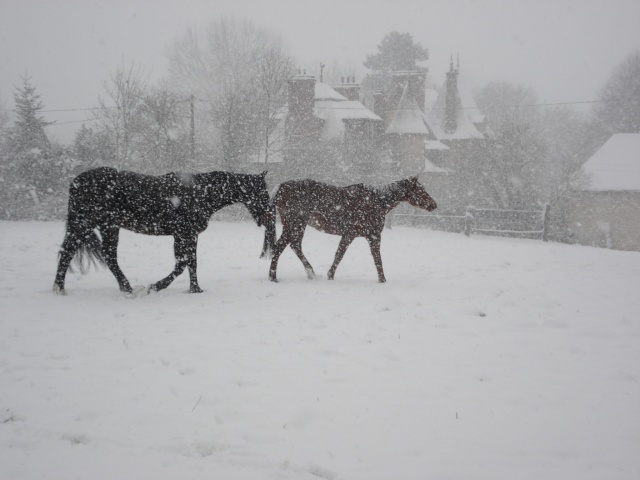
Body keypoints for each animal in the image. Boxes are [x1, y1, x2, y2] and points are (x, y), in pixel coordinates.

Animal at [51, 167, 268, 294]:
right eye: (262, 193)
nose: (266, 218)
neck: (202, 192)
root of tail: (76, 182)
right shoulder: (186, 234)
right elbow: (184, 264)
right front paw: (157, 286)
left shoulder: (184, 236)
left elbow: (188, 263)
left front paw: (193, 288)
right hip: (87, 224)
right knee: (73, 252)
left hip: (105, 227)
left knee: (98, 255)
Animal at [260, 175, 436, 282]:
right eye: (420, 190)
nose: (433, 204)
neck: (376, 201)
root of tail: (282, 187)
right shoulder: (370, 236)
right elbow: (375, 259)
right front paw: (383, 280)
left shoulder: (351, 235)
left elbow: (340, 254)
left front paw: (330, 275)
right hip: (295, 225)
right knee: (281, 247)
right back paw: (274, 277)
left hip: (297, 226)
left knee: (294, 246)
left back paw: (309, 273)